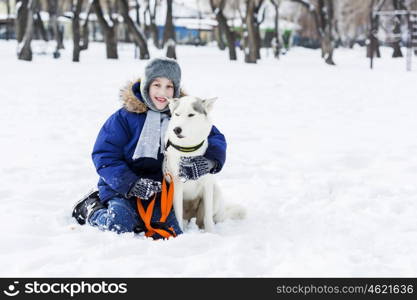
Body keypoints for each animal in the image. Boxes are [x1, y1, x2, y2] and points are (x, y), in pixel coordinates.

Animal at [161, 96, 242, 232]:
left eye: (191, 114)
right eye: (177, 114)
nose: (176, 129)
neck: (188, 151)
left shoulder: (207, 185)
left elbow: (207, 216)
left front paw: (211, 233)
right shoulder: (176, 186)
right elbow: (177, 214)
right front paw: (180, 232)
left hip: (215, 192)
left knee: (204, 219)